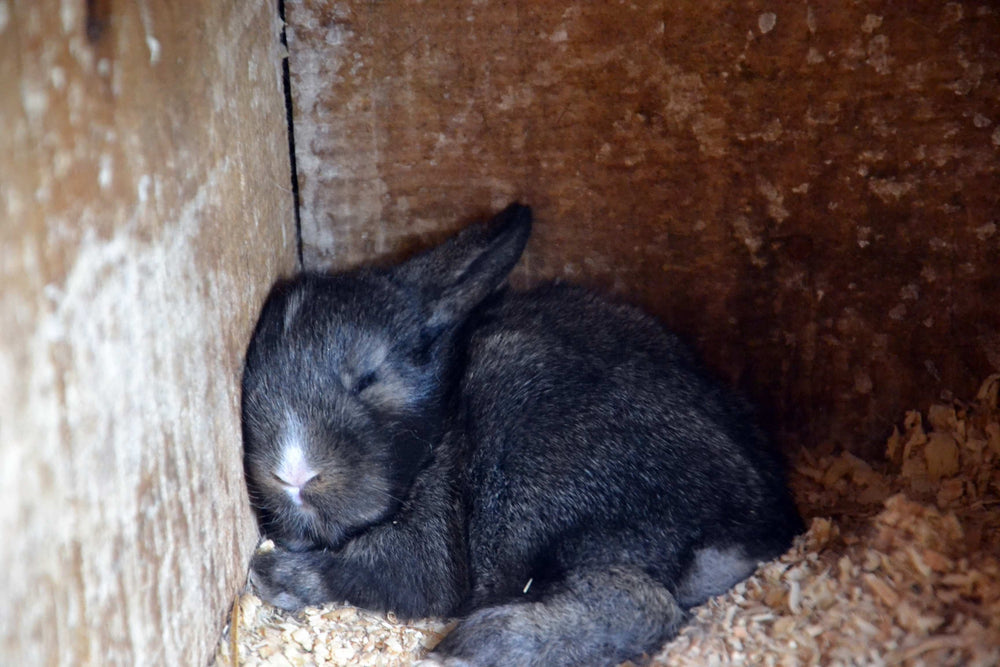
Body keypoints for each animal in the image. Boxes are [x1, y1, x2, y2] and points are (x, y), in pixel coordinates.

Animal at [240, 203, 804, 666]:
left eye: (368, 377)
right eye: (250, 386)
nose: (293, 473)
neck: (435, 436)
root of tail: (753, 527)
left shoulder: (426, 549)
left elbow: (361, 569)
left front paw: (275, 577)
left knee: (645, 606)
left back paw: (469, 647)